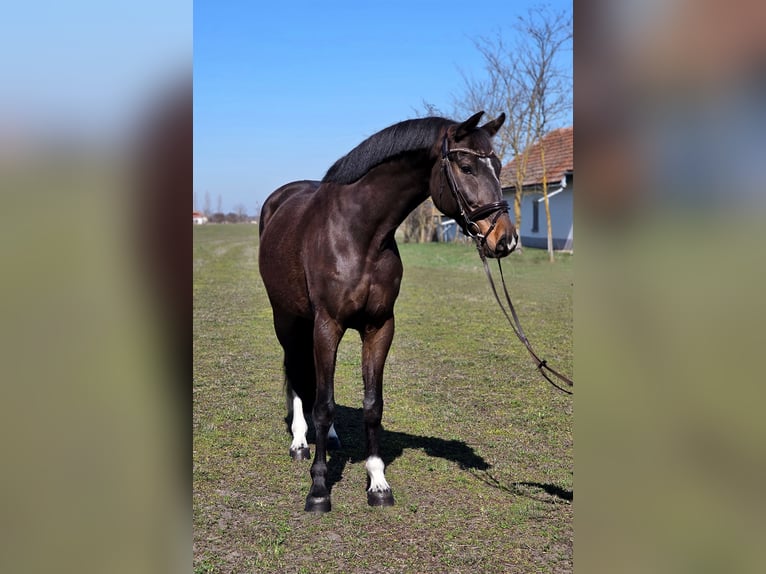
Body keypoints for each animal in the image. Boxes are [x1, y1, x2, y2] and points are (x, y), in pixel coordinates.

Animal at [258, 111, 517, 512]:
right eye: (466, 166)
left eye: (499, 166)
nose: (504, 239)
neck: (359, 234)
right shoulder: (327, 325)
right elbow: (323, 405)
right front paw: (318, 489)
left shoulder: (379, 327)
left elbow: (371, 405)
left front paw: (378, 483)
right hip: (287, 319)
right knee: (298, 376)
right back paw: (300, 441)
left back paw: (329, 437)